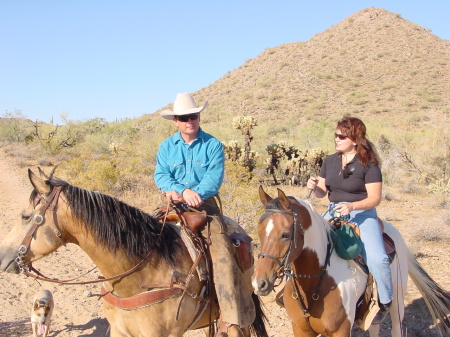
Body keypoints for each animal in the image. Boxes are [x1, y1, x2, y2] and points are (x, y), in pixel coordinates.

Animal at [251, 186, 448, 336]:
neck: (314, 284)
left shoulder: (341, 331)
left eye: (285, 234)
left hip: (397, 302)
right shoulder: (301, 330)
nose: (259, 283)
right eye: (258, 231)